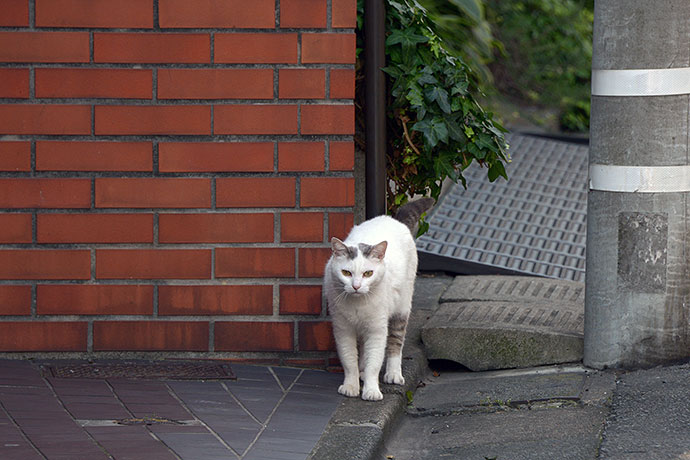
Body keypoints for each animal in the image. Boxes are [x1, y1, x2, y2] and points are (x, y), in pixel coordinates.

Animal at [322, 199, 430, 400]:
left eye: (368, 273)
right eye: (346, 273)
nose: (356, 286)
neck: (357, 305)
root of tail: (392, 219)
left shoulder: (377, 330)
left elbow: (374, 362)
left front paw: (371, 391)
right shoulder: (343, 329)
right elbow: (349, 360)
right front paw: (351, 386)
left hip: (401, 309)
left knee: (395, 343)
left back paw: (393, 374)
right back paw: (362, 372)